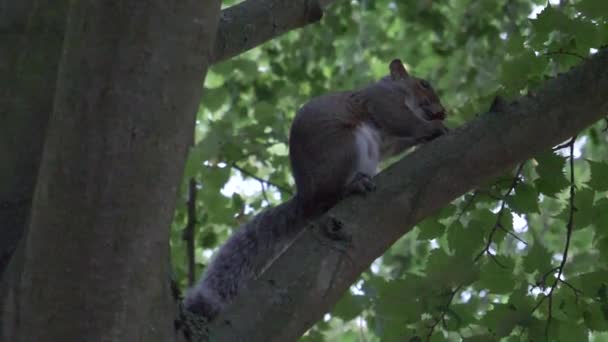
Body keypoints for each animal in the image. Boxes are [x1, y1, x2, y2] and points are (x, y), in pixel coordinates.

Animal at [183, 58, 448, 320]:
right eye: (424, 84)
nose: (443, 111)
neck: (397, 89)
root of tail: (307, 200)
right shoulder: (383, 102)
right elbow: (402, 121)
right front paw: (432, 128)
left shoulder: (388, 140)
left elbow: (396, 144)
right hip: (345, 147)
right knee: (333, 194)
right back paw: (353, 186)